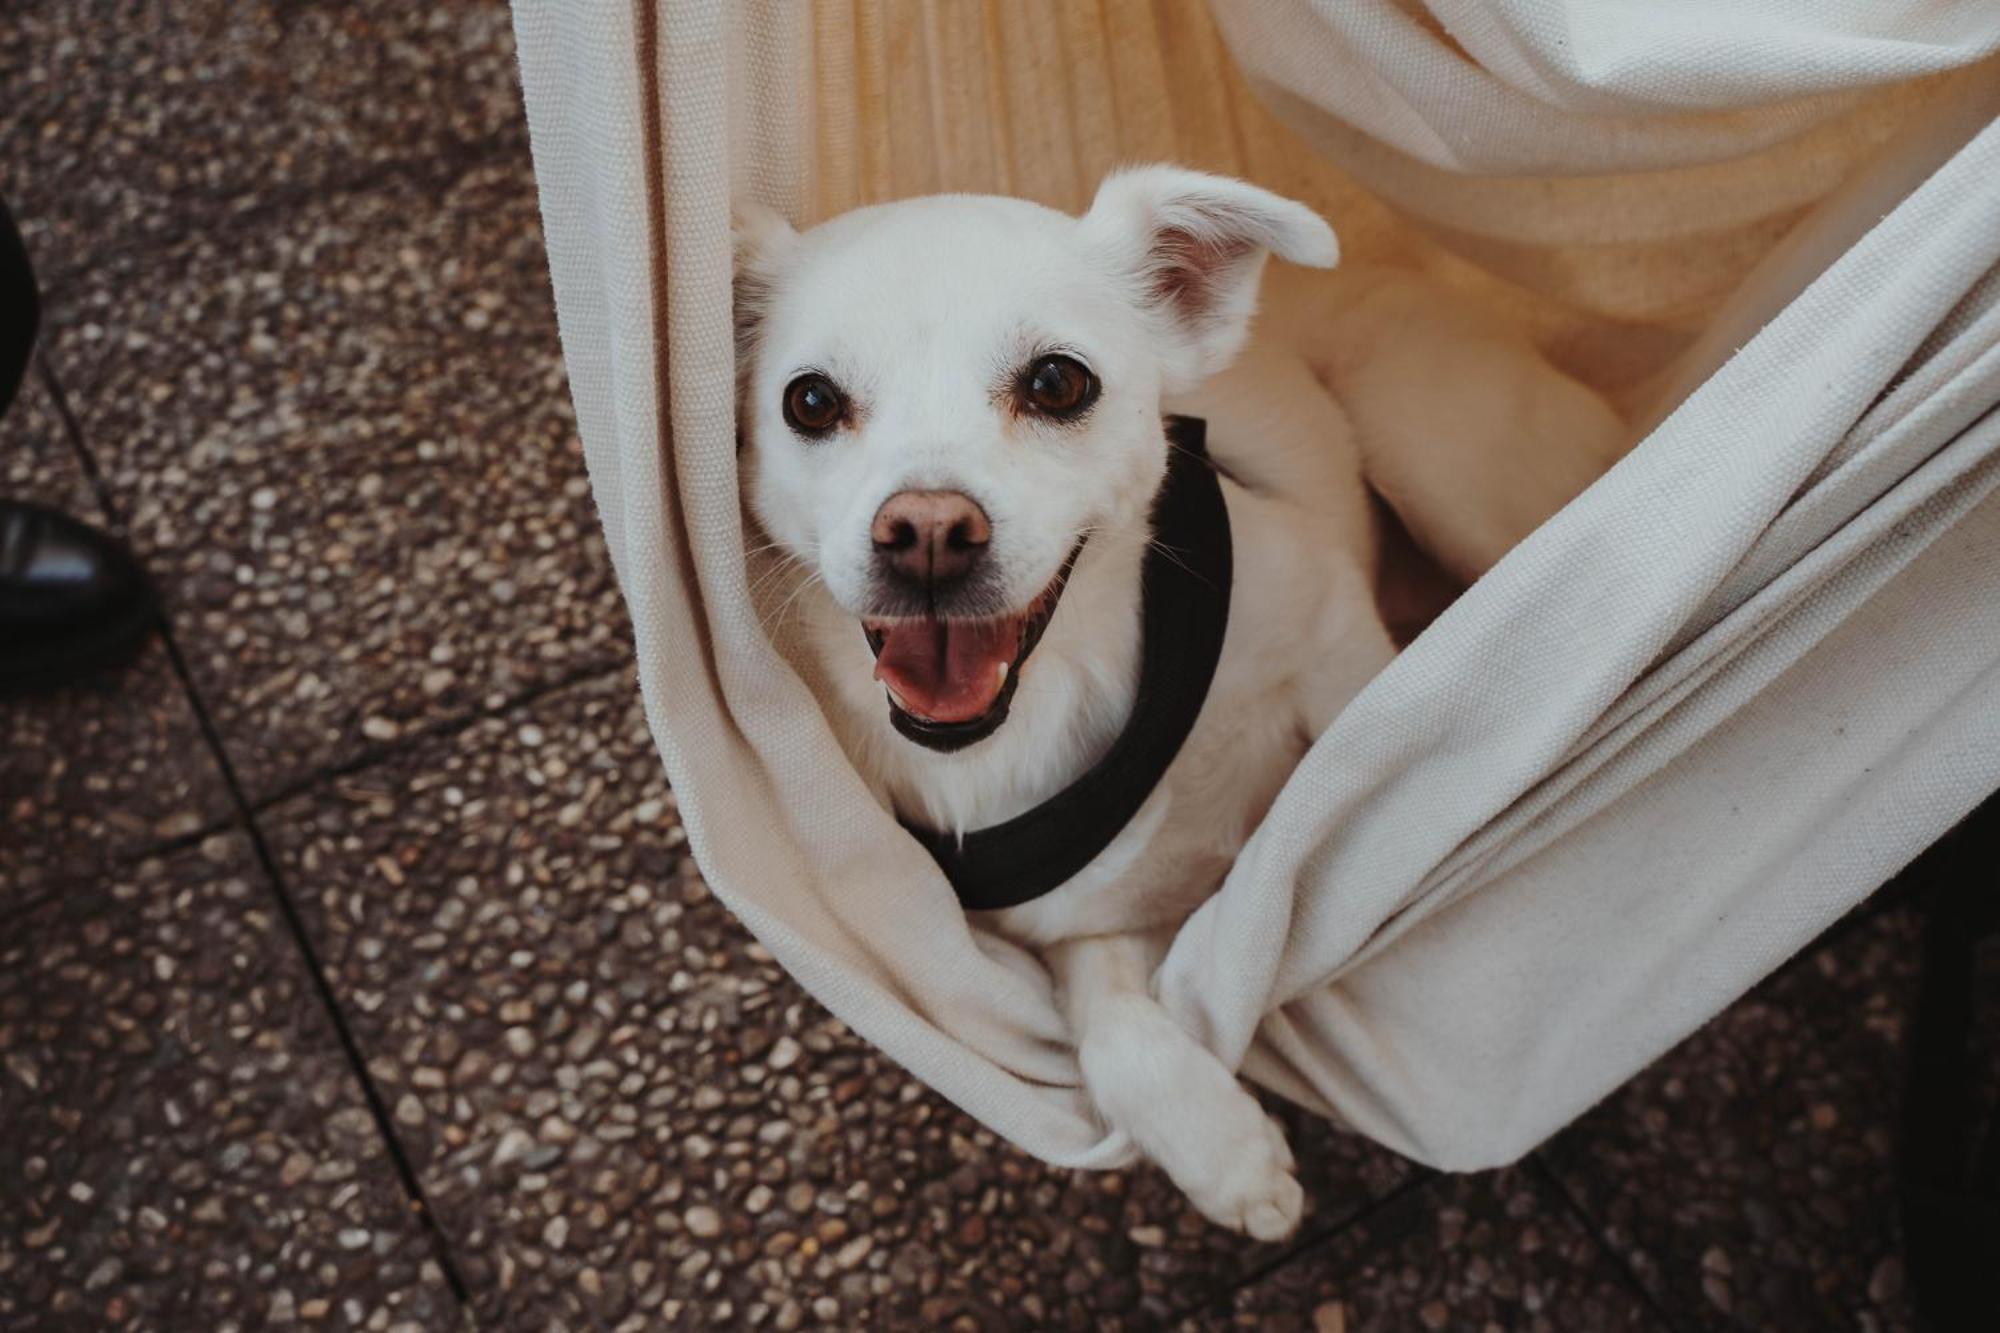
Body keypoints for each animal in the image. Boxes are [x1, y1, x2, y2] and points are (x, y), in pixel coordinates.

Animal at [736, 166, 1624, 1232]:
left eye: (1057, 383)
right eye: (810, 401)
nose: (928, 532)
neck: (1050, 696)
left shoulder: (1329, 629)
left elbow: (1362, 745)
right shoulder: (1083, 918)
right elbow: (1115, 1028)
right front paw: (1223, 1151)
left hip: (1437, 460)